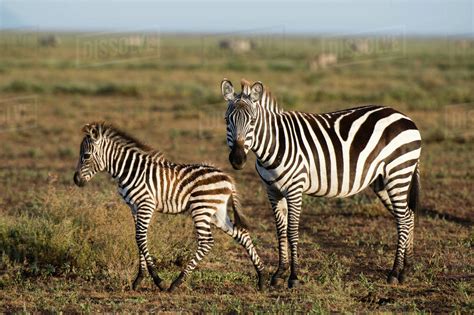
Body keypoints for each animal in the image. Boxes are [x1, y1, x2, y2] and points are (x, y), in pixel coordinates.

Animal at [72, 122, 264, 292]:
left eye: (86, 155)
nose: (76, 180)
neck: (129, 171)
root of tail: (227, 178)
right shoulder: (134, 207)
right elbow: (139, 238)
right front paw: (138, 280)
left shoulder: (146, 204)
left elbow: (140, 238)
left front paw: (158, 281)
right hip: (217, 212)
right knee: (242, 234)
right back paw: (261, 277)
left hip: (201, 209)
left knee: (207, 241)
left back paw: (176, 283)